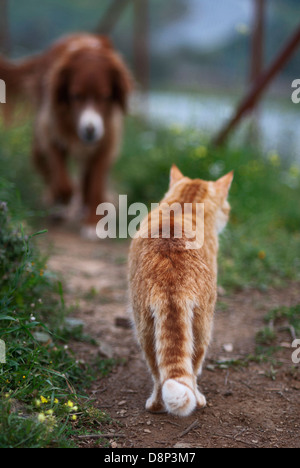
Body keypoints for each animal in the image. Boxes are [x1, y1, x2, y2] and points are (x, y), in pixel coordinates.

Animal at [0, 33, 134, 238]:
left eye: (105, 97)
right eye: (75, 96)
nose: (90, 130)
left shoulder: (106, 142)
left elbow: (95, 184)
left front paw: (92, 223)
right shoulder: (51, 134)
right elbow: (63, 183)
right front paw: (63, 203)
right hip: (40, 141)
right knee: (46, 169)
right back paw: (58, 206)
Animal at [127, 165, 233, 416]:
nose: (228, 214)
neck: (183, 205)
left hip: (146, 329)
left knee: (160, 373)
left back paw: (156, 406)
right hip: (203, 327)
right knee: (189, 369)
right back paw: (194, 400)